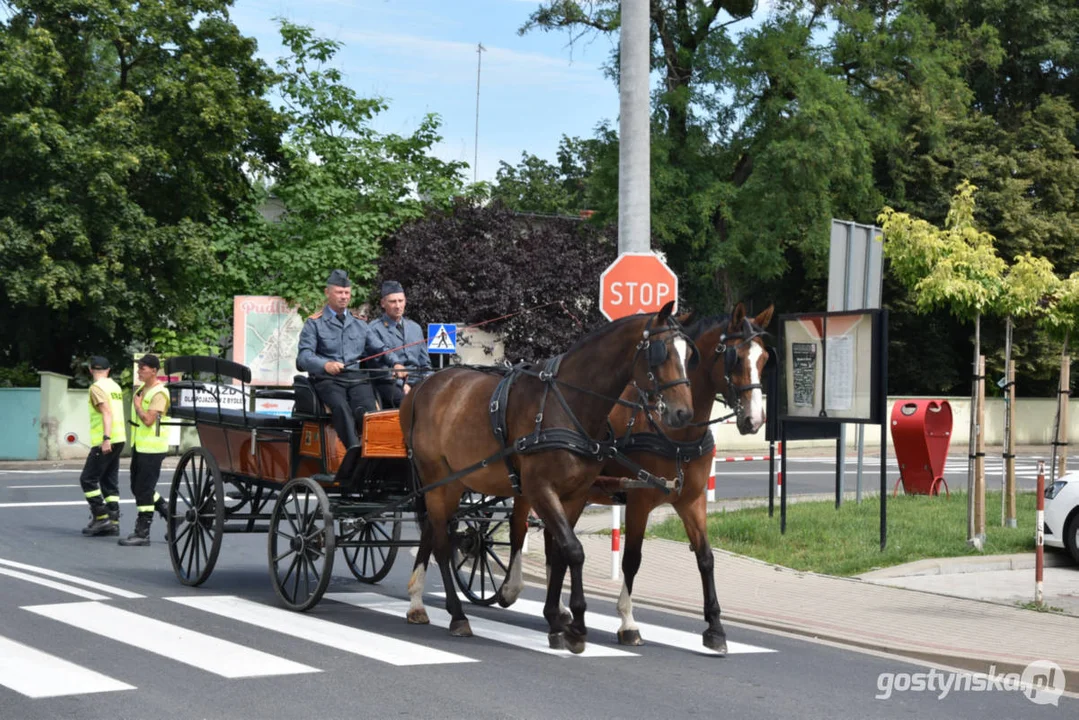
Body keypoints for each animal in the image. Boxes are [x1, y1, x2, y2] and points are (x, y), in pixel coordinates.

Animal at [401, 302, 694, 651]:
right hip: (438, 481)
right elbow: (574, 550)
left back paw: (418, 602)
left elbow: (560, 551)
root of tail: (424, 385)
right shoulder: (540, 490)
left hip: (453, 483)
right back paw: (457, 615)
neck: (567, 405)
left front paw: (556, 621)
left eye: (689, 354)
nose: (684, 414)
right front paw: (576, 625)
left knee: (433, 533)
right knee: (443, 545)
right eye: (661, 352)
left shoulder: (575, 495)